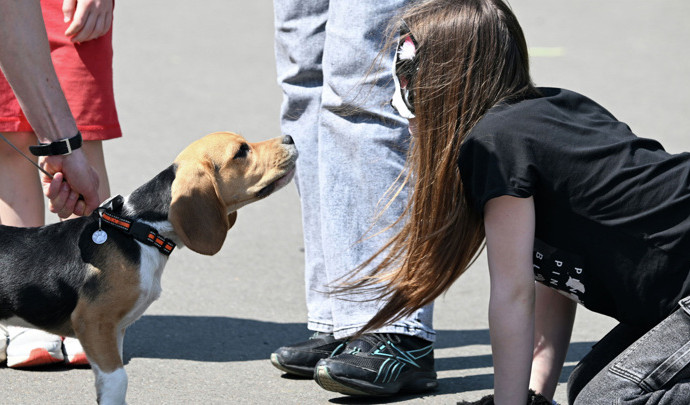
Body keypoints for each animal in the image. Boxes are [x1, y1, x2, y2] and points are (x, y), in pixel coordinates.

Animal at [0, 131, 296, 402]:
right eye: (241, 151)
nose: (290, 138)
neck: (140, 229)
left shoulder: (114, 330)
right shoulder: (94, 322)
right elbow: (118, 380)